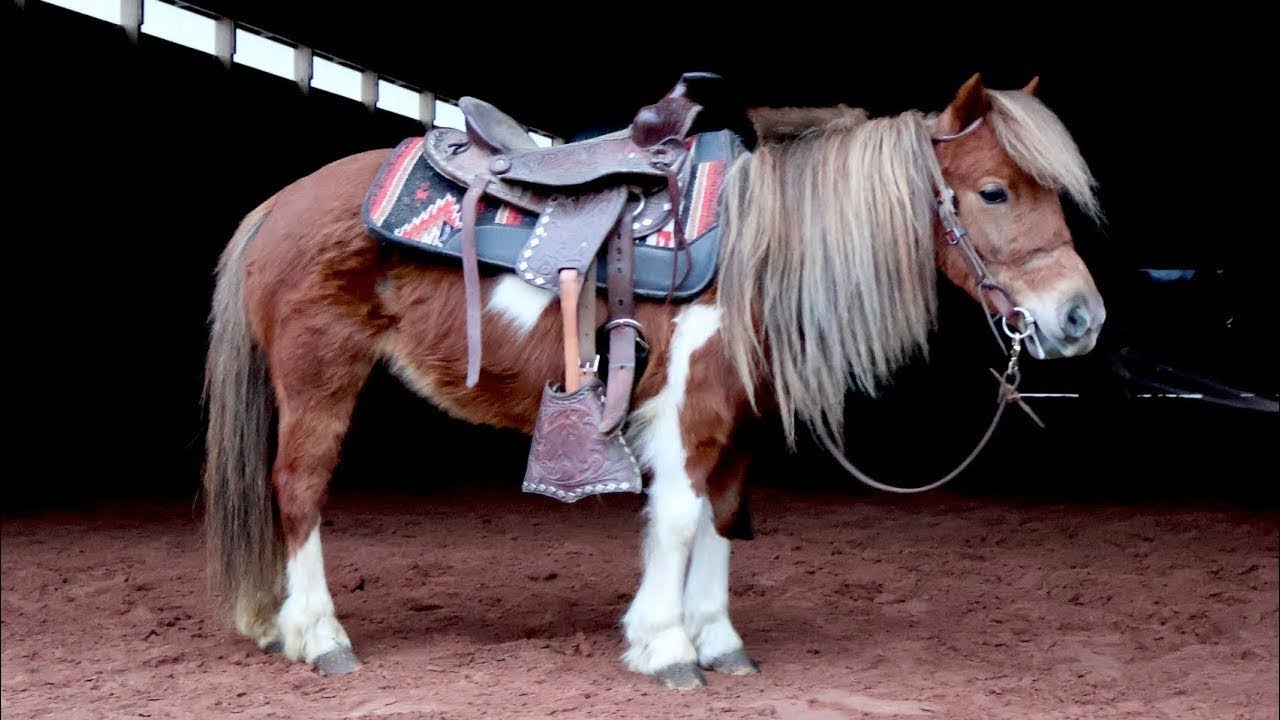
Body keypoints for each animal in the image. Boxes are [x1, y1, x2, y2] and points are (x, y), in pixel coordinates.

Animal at [201, 73, 1106, 688]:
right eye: (992, 192)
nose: (1080, 318)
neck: (752, 245)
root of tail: (278, 204)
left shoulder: (735, 422)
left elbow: (717, 522)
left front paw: (718, 641)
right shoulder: (686, 409)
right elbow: (675, 519)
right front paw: (667, 647)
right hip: (320, 378)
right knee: (299, 489)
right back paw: (320, 636)